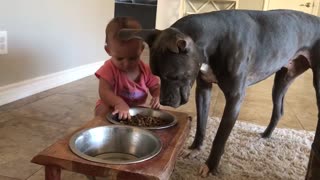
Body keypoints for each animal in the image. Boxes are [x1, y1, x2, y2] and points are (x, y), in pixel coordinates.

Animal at [119, 9, 320, 176]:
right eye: (156, 74)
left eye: (173, 76)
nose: (164, 101)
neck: (214, 39)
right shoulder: (203, 90)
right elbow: (201, 123)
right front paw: (195, 148)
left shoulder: (235, 98)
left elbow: (220, 137)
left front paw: (211, 166)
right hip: (282, 80)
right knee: (278, 110)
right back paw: (266, 135)